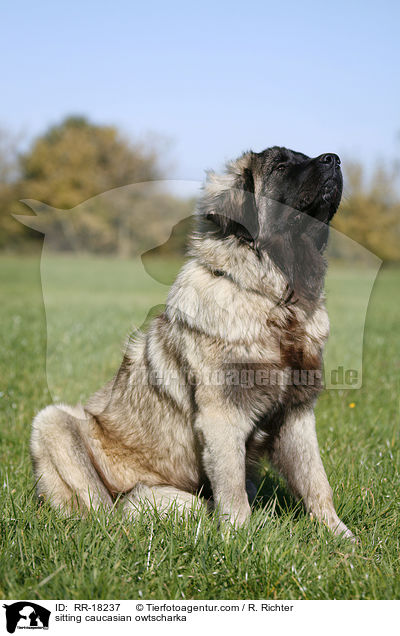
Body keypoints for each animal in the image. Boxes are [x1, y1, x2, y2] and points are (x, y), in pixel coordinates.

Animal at [32, 147, 354, 540]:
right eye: (280, 166)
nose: (334, 159)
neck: (276, 301)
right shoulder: (222, 416)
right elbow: (232, 491)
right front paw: (240, 539)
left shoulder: (296, 414)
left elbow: (316, 481)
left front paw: (341, 537)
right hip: (52, 424)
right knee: (106, 509)